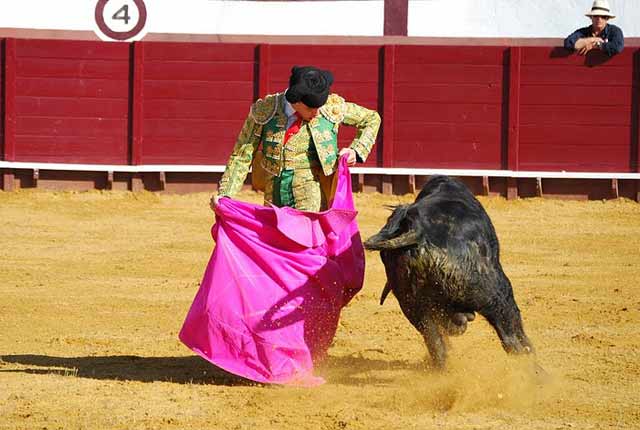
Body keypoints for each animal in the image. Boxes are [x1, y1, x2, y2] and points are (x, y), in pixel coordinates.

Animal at [364, 176, 536, 368]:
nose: (463, 320)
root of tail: (417, 231)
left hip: (412, 306)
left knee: (435, 345)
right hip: (492, 293)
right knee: (510, 334)